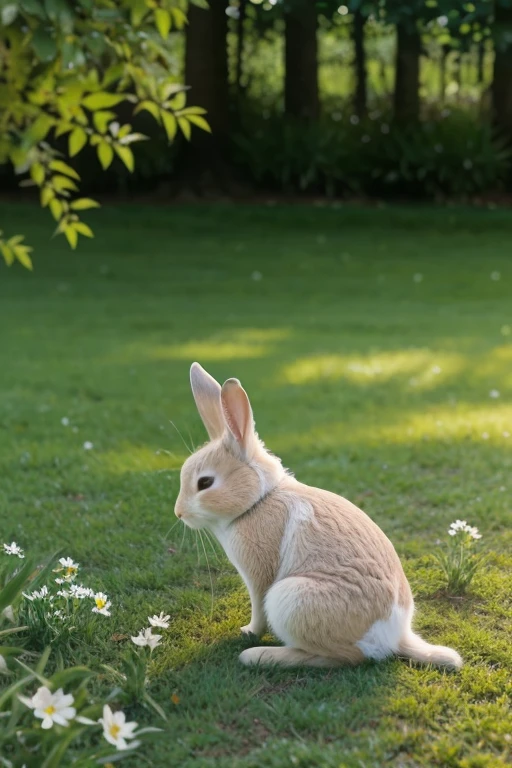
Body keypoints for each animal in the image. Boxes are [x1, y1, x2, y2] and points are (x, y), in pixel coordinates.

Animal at [174, 364, 462, 668]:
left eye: (205, 483)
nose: (179, 513)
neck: (258, 501)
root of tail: (395, 638)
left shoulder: (258, 578)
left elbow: (258, 611)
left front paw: (248, 632)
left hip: (289, 599)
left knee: (345, 657)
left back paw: (258, 655)